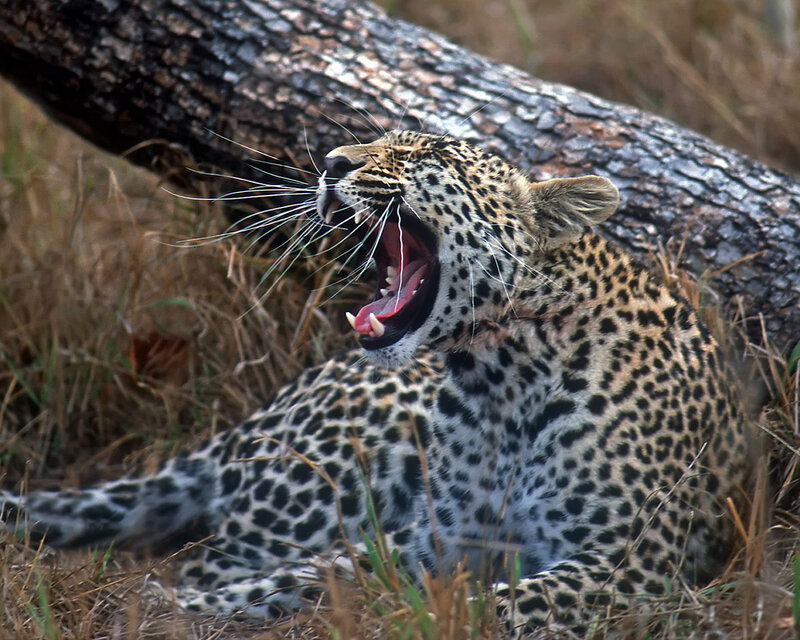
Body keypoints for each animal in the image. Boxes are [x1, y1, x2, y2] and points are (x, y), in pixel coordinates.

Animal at [1, 130, 752, 635]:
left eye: (429, 157)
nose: (332, 163)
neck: (501, 379)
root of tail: (262, 412)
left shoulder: (629, 562)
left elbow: (504, 604)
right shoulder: (439, 538)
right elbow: (319, 572)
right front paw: (186, 610)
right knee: (222, 555)